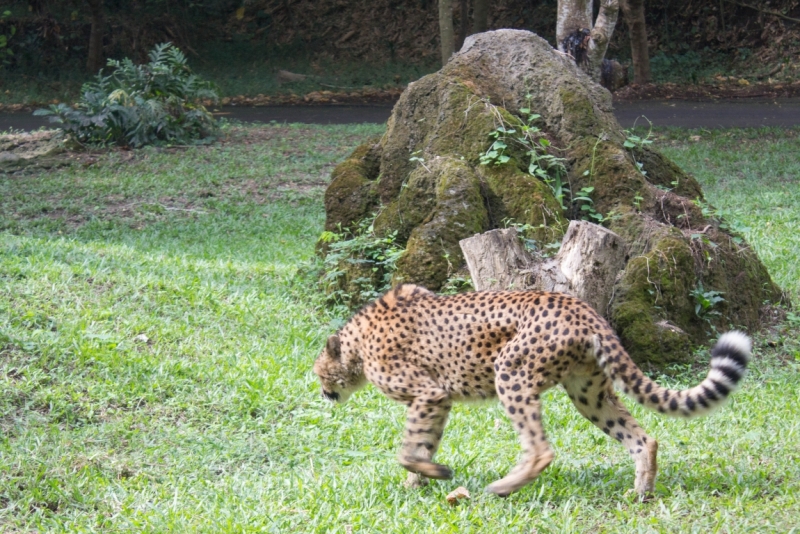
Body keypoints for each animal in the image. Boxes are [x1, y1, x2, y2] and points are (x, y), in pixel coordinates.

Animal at [312, 284, 752, 498]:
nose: (322, 392)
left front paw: (429, 476)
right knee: (643, 437)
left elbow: (408, 449)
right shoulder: (439, 400)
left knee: (541, 449)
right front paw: (416, 485)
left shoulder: (430, 394)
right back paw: (640, 493)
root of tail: (581, 307)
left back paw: (505, 487)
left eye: (319, 375)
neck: (357, 343)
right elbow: (422, 444)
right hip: (588, 392)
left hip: (511, 372)